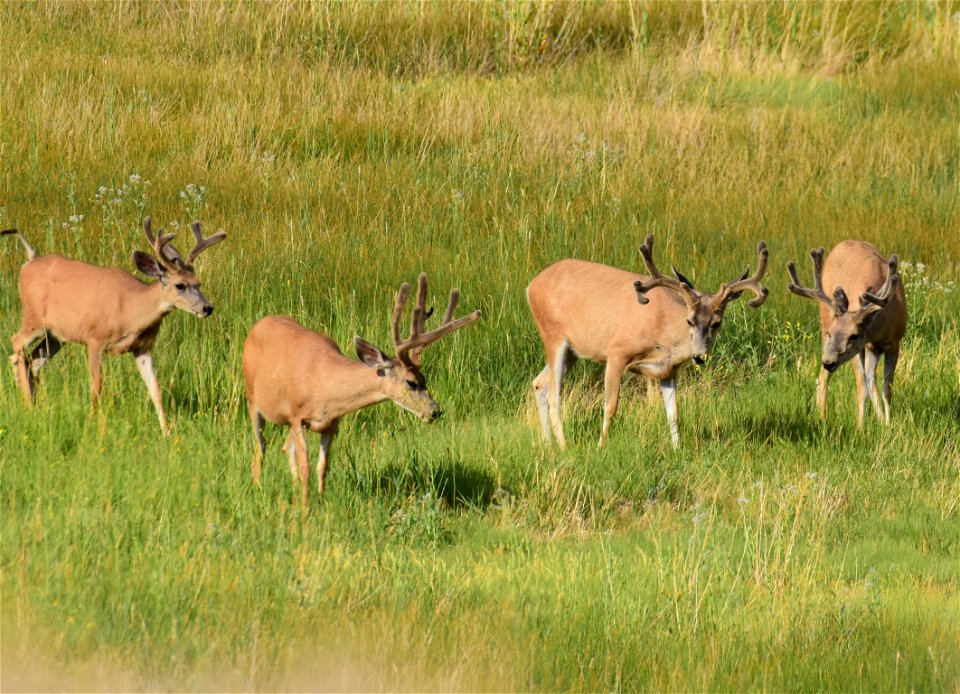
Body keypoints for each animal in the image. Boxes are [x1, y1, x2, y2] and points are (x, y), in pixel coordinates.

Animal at [2, 218, 226, 438]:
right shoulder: (95, 338)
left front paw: (168, 435)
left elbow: (155, 390)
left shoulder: (143, 348)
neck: (130, 310)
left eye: (198, 283)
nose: (207, 308)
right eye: (180, 285)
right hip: (33, 318)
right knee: (16, 346)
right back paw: (27, 404)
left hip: (56, 336)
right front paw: (93, 424)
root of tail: (30, 260)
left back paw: (34, 404)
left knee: (33, 361)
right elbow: (97, 385)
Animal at [240, 274, 480, 506]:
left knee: (284, 448)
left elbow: (322, 467)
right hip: (253, 400)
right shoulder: (298, 415)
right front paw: (306, 508)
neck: (324, 385)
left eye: (425, 379)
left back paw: (292, 485)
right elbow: (306, 466)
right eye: (411, 382)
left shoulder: (330, 423)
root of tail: (257, 325)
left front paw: (320, 501)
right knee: (261, 448)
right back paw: (257, 487)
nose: (435, 410)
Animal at [528, 235, 768, 452]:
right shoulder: (617, 353)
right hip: (553, 334)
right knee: (554, 395)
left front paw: (677, 450)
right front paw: (600, 447)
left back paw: (548, 444)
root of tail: (531, 286)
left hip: (573, 352)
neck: (665, 330)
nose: (699, 356)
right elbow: (611, 406)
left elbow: (674, 412)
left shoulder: (669, 370)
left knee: (539, 383)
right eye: (689, 320)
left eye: (717, 323)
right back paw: (563, 446)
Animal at [788, 241, 908, 430]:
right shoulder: (860, 349)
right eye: (831, 333)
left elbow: (886, 389)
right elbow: (861, 387)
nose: (829, 362)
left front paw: (887, 425)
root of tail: (842, 243)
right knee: (823, 377)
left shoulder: (893, 343)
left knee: (868, 379)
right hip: (825, 319)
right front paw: (861, 428)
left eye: (854, 335)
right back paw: (822, 417)